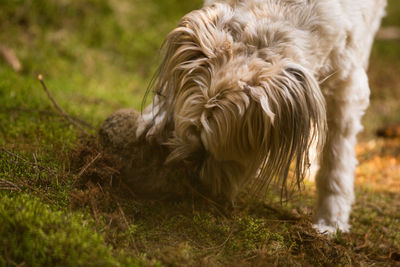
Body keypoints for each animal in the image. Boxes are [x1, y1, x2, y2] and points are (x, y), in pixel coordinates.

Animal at [135, 0, 388, 234]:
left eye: (209, 150)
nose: (193, 179)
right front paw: (156, 114)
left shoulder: (346, 90)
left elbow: (337, 159)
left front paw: (330, 220)